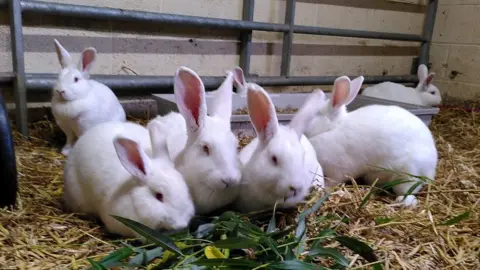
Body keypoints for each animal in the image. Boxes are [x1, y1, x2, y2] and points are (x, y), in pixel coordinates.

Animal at [306, 75, 436, 207]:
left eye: (313, 115)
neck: (331, 129)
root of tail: (432, 167)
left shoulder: (339, 170)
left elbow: (333, 181)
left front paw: (325, 188)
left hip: (407, 173)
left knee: (409, 192)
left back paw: (401, 202)